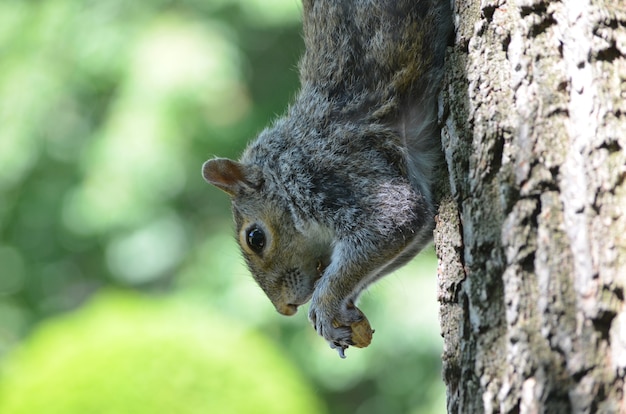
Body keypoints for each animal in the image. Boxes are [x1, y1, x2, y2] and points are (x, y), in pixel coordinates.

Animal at [202, 0, 450, 356]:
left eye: (255, 238)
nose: (285, 308)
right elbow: (413, 233)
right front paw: (341, 309)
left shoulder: (325, 175)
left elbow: (393, 220)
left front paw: (323, 305)